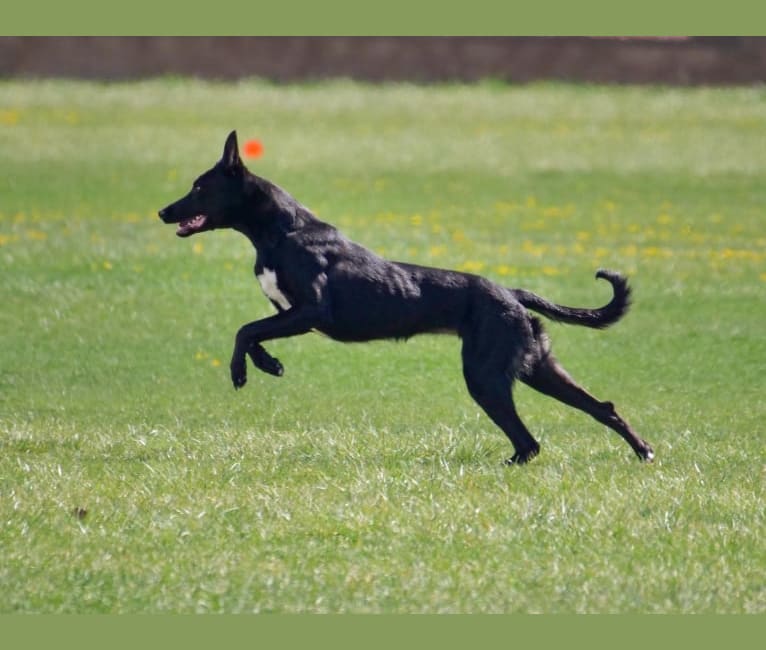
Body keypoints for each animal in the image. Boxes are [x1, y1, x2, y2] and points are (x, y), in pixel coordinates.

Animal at [159, 132, 656, 464]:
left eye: (200, 187)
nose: (163, 211)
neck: (280, 230)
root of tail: (511, 293)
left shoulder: (311, 310)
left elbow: (245, 330)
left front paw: (243, 372)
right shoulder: (291, 314)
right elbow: (255, 332)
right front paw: (269, 365)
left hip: (486, 375)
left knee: (529, 441)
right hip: (536, 366)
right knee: (599, 410)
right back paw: (643, 452)